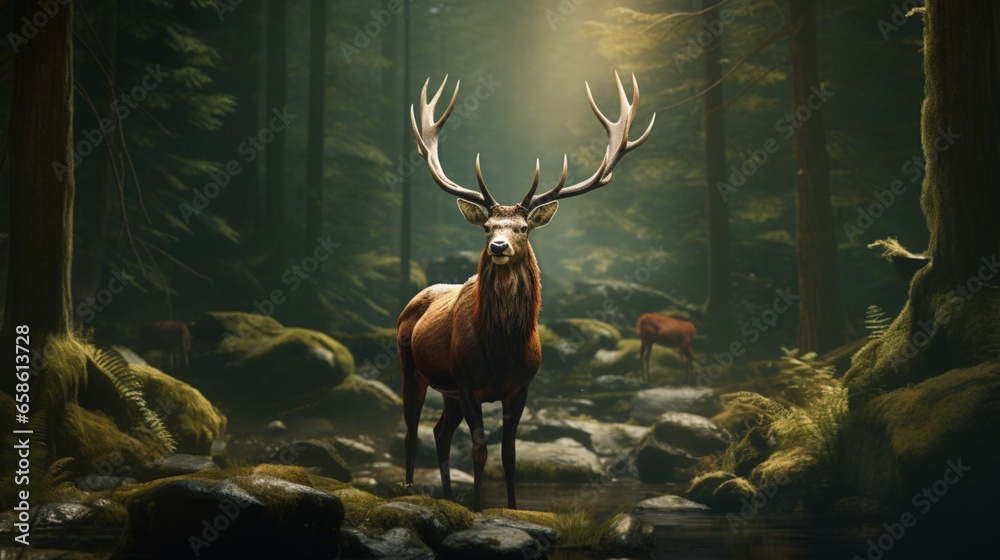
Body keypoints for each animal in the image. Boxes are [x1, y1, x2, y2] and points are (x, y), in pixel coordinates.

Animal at [397, 72, 654, 511]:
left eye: (522, 228)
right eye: (487, 228)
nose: (499, 247)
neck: (502, 350)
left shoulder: (521, 387)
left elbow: (510, 454)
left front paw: (514, 508)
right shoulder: (467, 381)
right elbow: (480, 450)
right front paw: (479, 507)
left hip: (447, 392)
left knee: (439, 433)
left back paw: (446, 498)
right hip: (410, 365)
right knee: (413, 431)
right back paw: (412, 490)